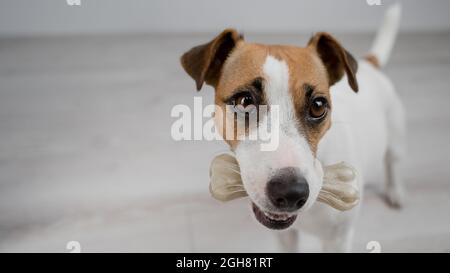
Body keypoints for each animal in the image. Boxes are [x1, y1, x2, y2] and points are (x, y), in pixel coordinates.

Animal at [181, 3, 406, 251]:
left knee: (393, 163)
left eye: (318, 106)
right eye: (244, 101)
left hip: (395, 137)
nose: (290, 193)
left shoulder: (338, 239)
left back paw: (395, 192)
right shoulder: (284, 236)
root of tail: (368, 64)